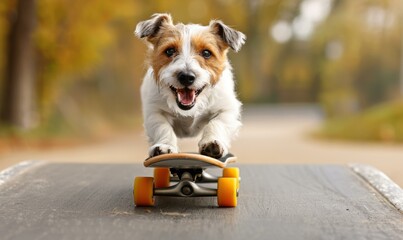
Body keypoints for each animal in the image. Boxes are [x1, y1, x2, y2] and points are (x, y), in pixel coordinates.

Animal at [135, 14, 246, 158]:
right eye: (169, 51)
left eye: (206, 53)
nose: (186, 76)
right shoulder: (154, 112)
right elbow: (163, 127)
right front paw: (165, 146)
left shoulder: (227, 109)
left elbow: (216, 123)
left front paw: (212, 142)